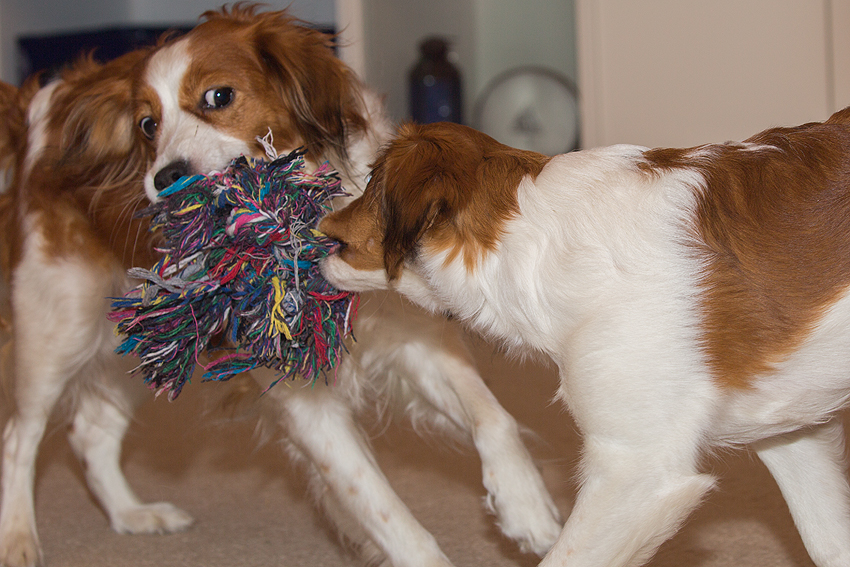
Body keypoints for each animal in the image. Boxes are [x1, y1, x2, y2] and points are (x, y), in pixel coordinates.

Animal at [0, 5, 564, 567]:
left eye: (218, 96)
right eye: (147, 125)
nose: (163, 178)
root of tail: (44, 104)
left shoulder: (413, 338)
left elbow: (495, 417)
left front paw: (527, 508)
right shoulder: (304, 398)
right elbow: (385, 510)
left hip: (148, 337)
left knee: (90, 430)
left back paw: (132, 515)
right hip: (59, 331)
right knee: (19, 437)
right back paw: (19, 539)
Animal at [320, 120, 850, 567]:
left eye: (370, 178)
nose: (322, 215)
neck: (542, 245)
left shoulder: (635, 472)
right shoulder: (789, 431)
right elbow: (829, 542)